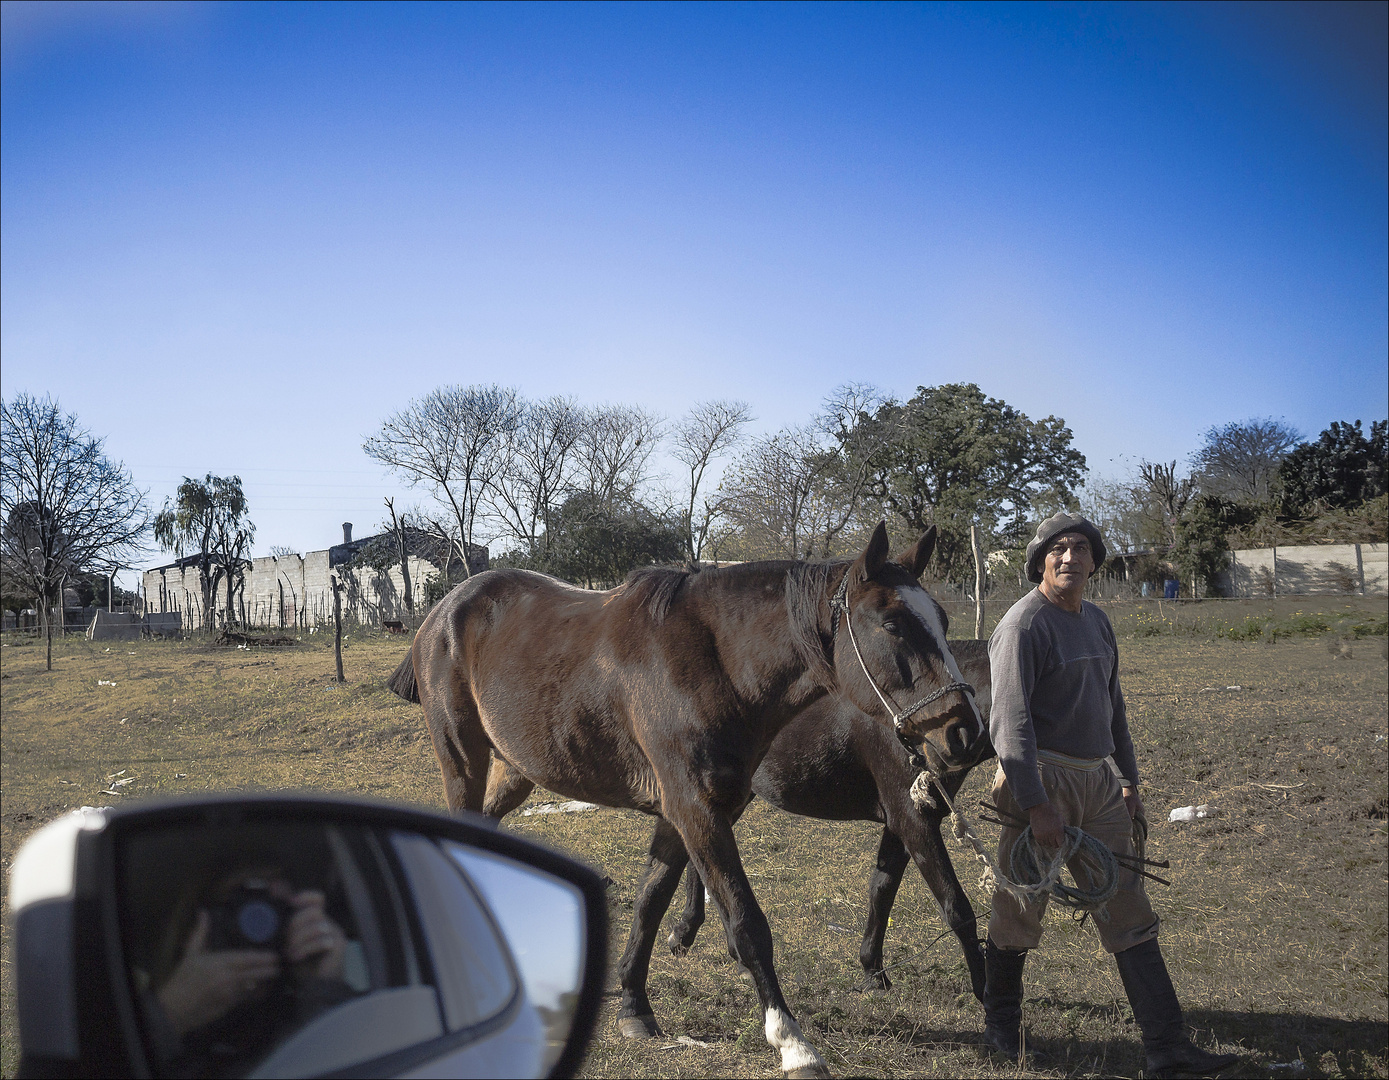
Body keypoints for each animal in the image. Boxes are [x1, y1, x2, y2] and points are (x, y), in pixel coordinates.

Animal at [386, 519, 983, 1066]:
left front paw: (633, 1007)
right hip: (463, 760)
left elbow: (651, 900)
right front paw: (792, 1043)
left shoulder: (689, 811)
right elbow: (746, 922)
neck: (712, 664)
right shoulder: (695, 810)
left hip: (517, 770)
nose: (963, 732)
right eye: (892, 624)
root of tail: (445, 610)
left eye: (942, 619)